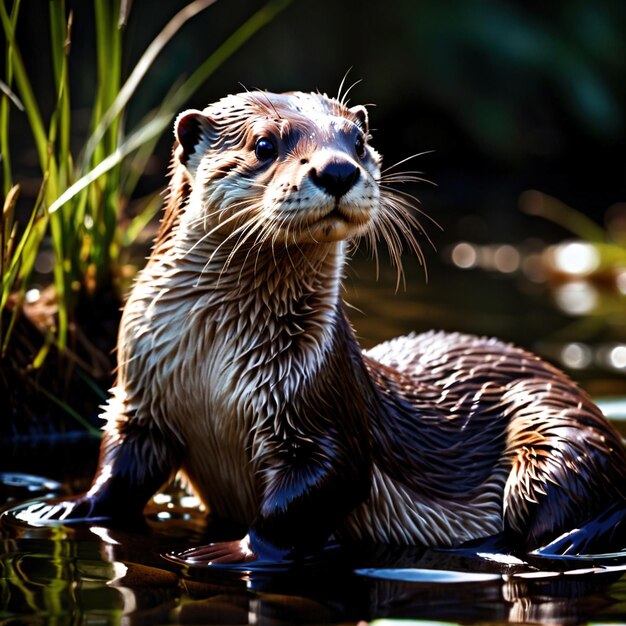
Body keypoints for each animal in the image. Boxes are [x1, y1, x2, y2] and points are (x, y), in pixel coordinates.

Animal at [13, 90, 624, 564]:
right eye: (264, 144)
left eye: (358, 140)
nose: (337, 169)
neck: (210, 366)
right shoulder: (142, 390)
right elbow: (119, 467)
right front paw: (63, 507)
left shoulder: (317, 403)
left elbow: (313, 494)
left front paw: (229, 550)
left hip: (560, 440)